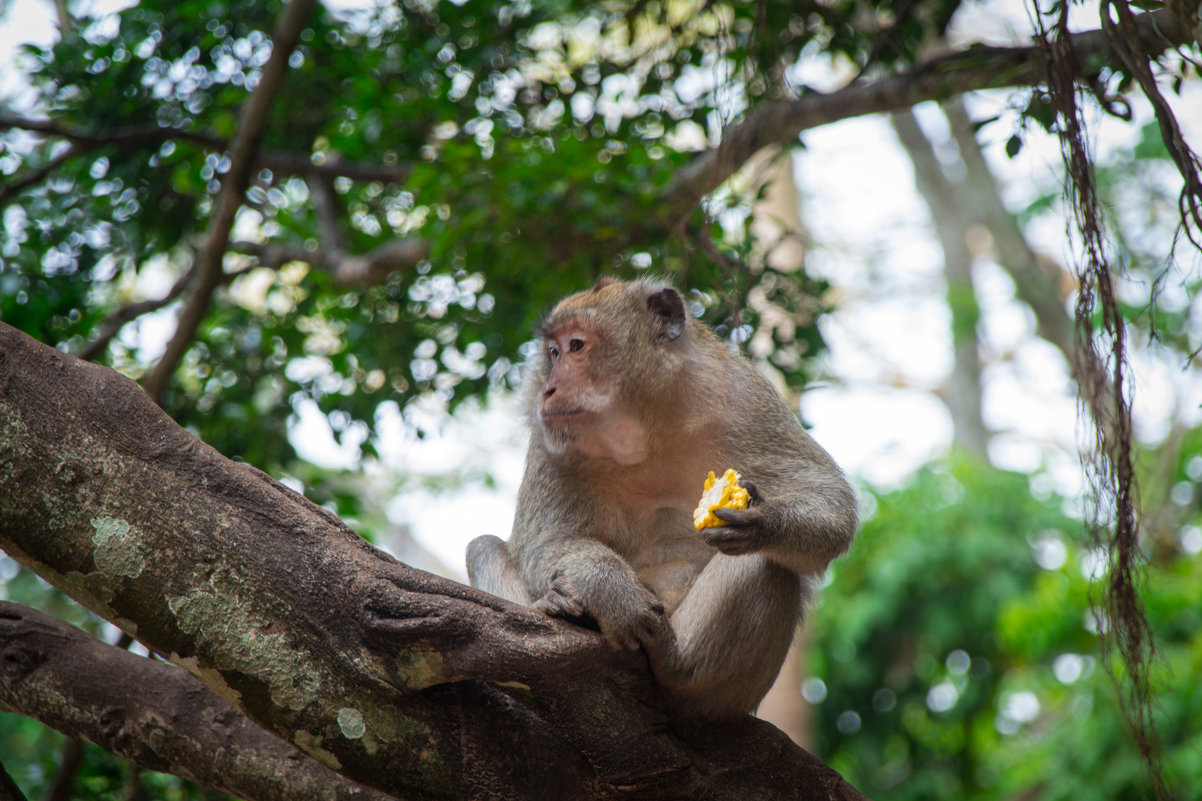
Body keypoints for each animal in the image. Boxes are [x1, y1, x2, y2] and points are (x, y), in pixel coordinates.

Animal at [466, 277, 855, 712]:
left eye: (576, 346)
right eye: (553, 353)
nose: (547, 390)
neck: (643, 424)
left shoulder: (744, 395)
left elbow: (827, 496)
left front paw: (765, 521)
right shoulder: (549, 437)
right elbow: (543, 542)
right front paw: (609, 590)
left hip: (735, 692)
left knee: (764, 561)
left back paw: (678, 667)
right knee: (483, 547)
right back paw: (561, 612)